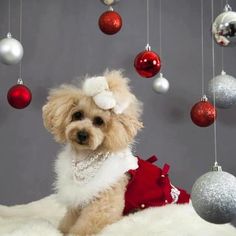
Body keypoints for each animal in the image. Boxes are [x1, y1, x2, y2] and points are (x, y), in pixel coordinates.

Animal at [42, 69, 144, 234]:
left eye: (99, 121)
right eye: (77, 115)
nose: (82, 134)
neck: (85, 156)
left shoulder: (103, 204)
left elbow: (85, 226)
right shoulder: (78, 200)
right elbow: (69, 219)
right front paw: (62, 230)